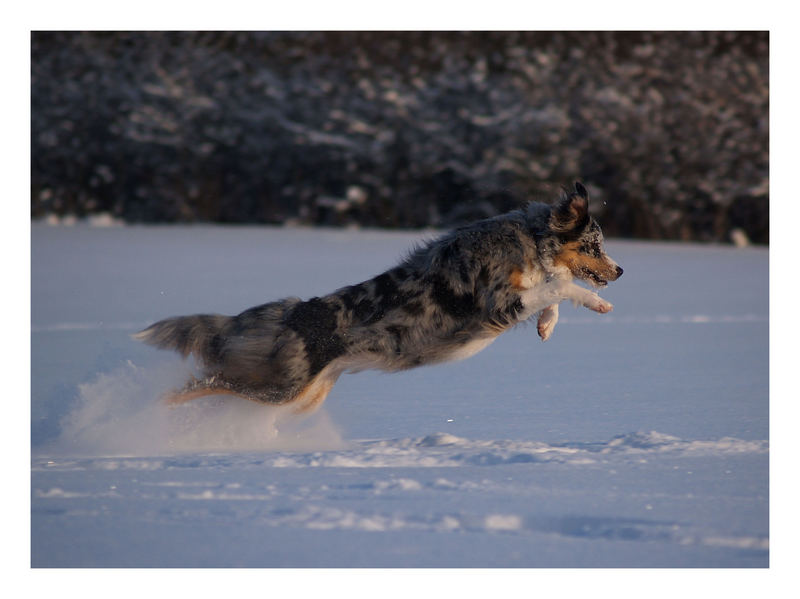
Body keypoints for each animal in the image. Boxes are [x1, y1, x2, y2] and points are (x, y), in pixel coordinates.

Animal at [138, 182, 620, 412]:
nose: (619, 271)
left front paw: (547, 325)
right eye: (595, 246)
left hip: (305, 394)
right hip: (279, 387)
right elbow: (560, 285)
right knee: (198, 383)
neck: (529, 237)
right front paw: (596, 303)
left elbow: (550, 291)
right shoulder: (498, 303)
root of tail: (289, 314)